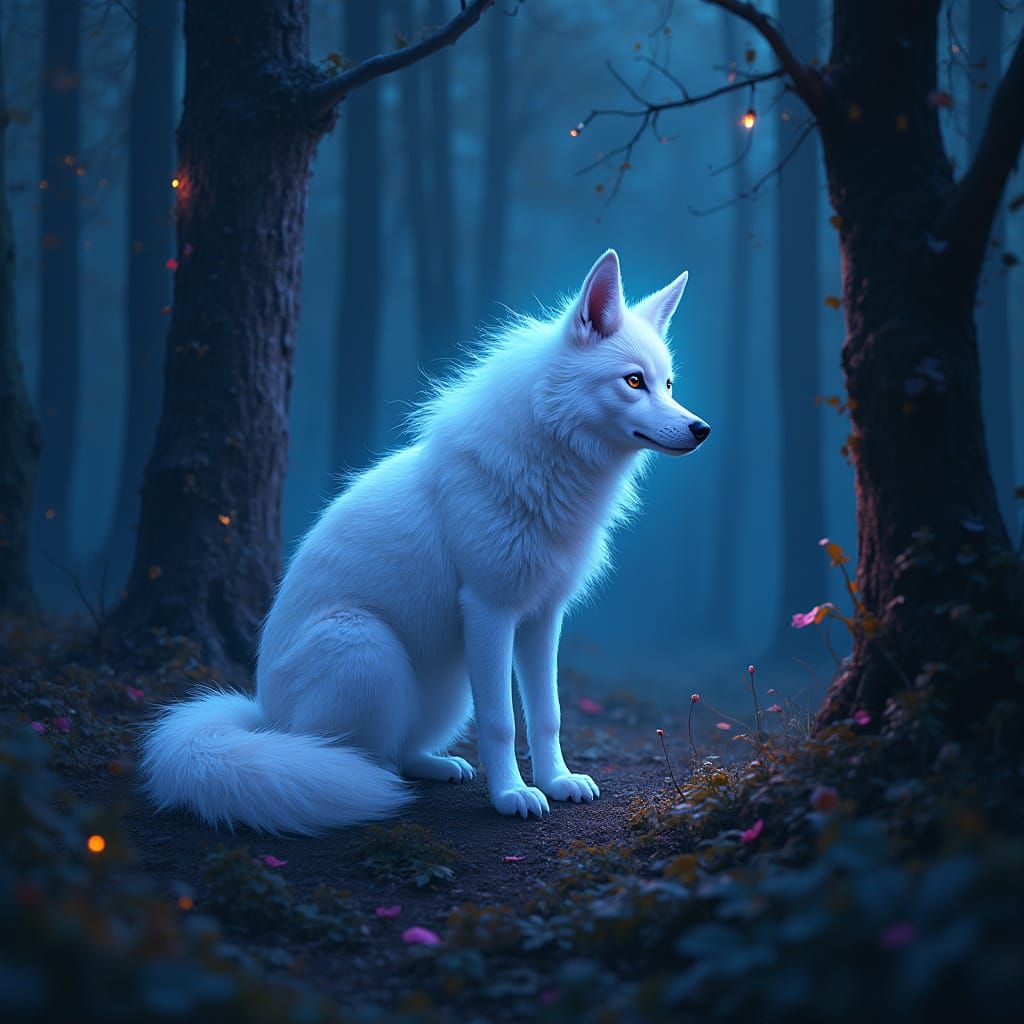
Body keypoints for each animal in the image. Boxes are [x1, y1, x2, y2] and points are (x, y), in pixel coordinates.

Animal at [141, 250, 711, 834]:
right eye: (634, 381)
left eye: (668, 384)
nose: (701, 429)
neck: (548, 465)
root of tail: (263, 716)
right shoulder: (489, 611)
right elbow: (503, 723)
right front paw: (513, 795)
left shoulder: (541, 617)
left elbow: (547, 714)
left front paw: (557, 781)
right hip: (368, 647)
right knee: (354, 758)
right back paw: (359, 783)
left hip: (447, 686)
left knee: (401, 751)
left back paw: (439, 766)